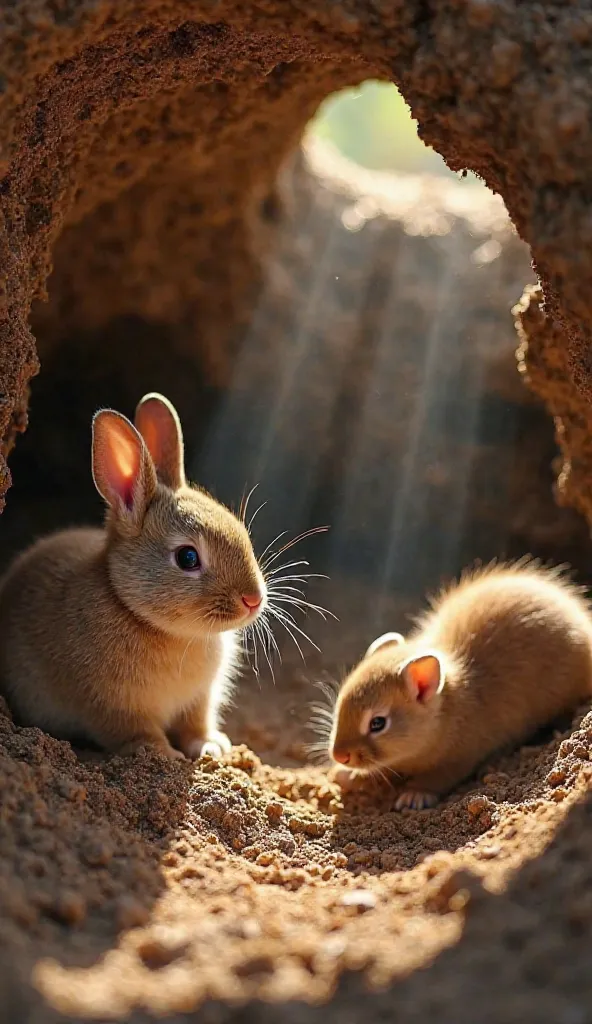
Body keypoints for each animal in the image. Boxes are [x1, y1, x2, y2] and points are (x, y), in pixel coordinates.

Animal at [0, 391, 264, 761]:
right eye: (187, 558)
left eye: (240, 530)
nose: (253, 600)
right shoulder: (113, 708)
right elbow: (137, 733)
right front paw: (164, 756)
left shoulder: (199, 700)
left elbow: (195, 724)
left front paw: (211, 747)